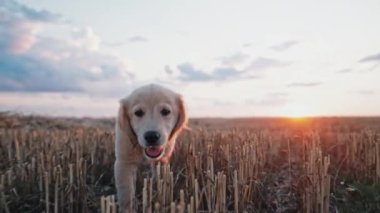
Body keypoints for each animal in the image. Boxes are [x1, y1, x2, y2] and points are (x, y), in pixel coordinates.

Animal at [115, 84, 188, 212]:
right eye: (138, 113)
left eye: (165, 111)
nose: (152, 136)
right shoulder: (123, 163)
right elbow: (126, 194)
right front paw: (128, 208)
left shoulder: (162, 161)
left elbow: (159, 180)